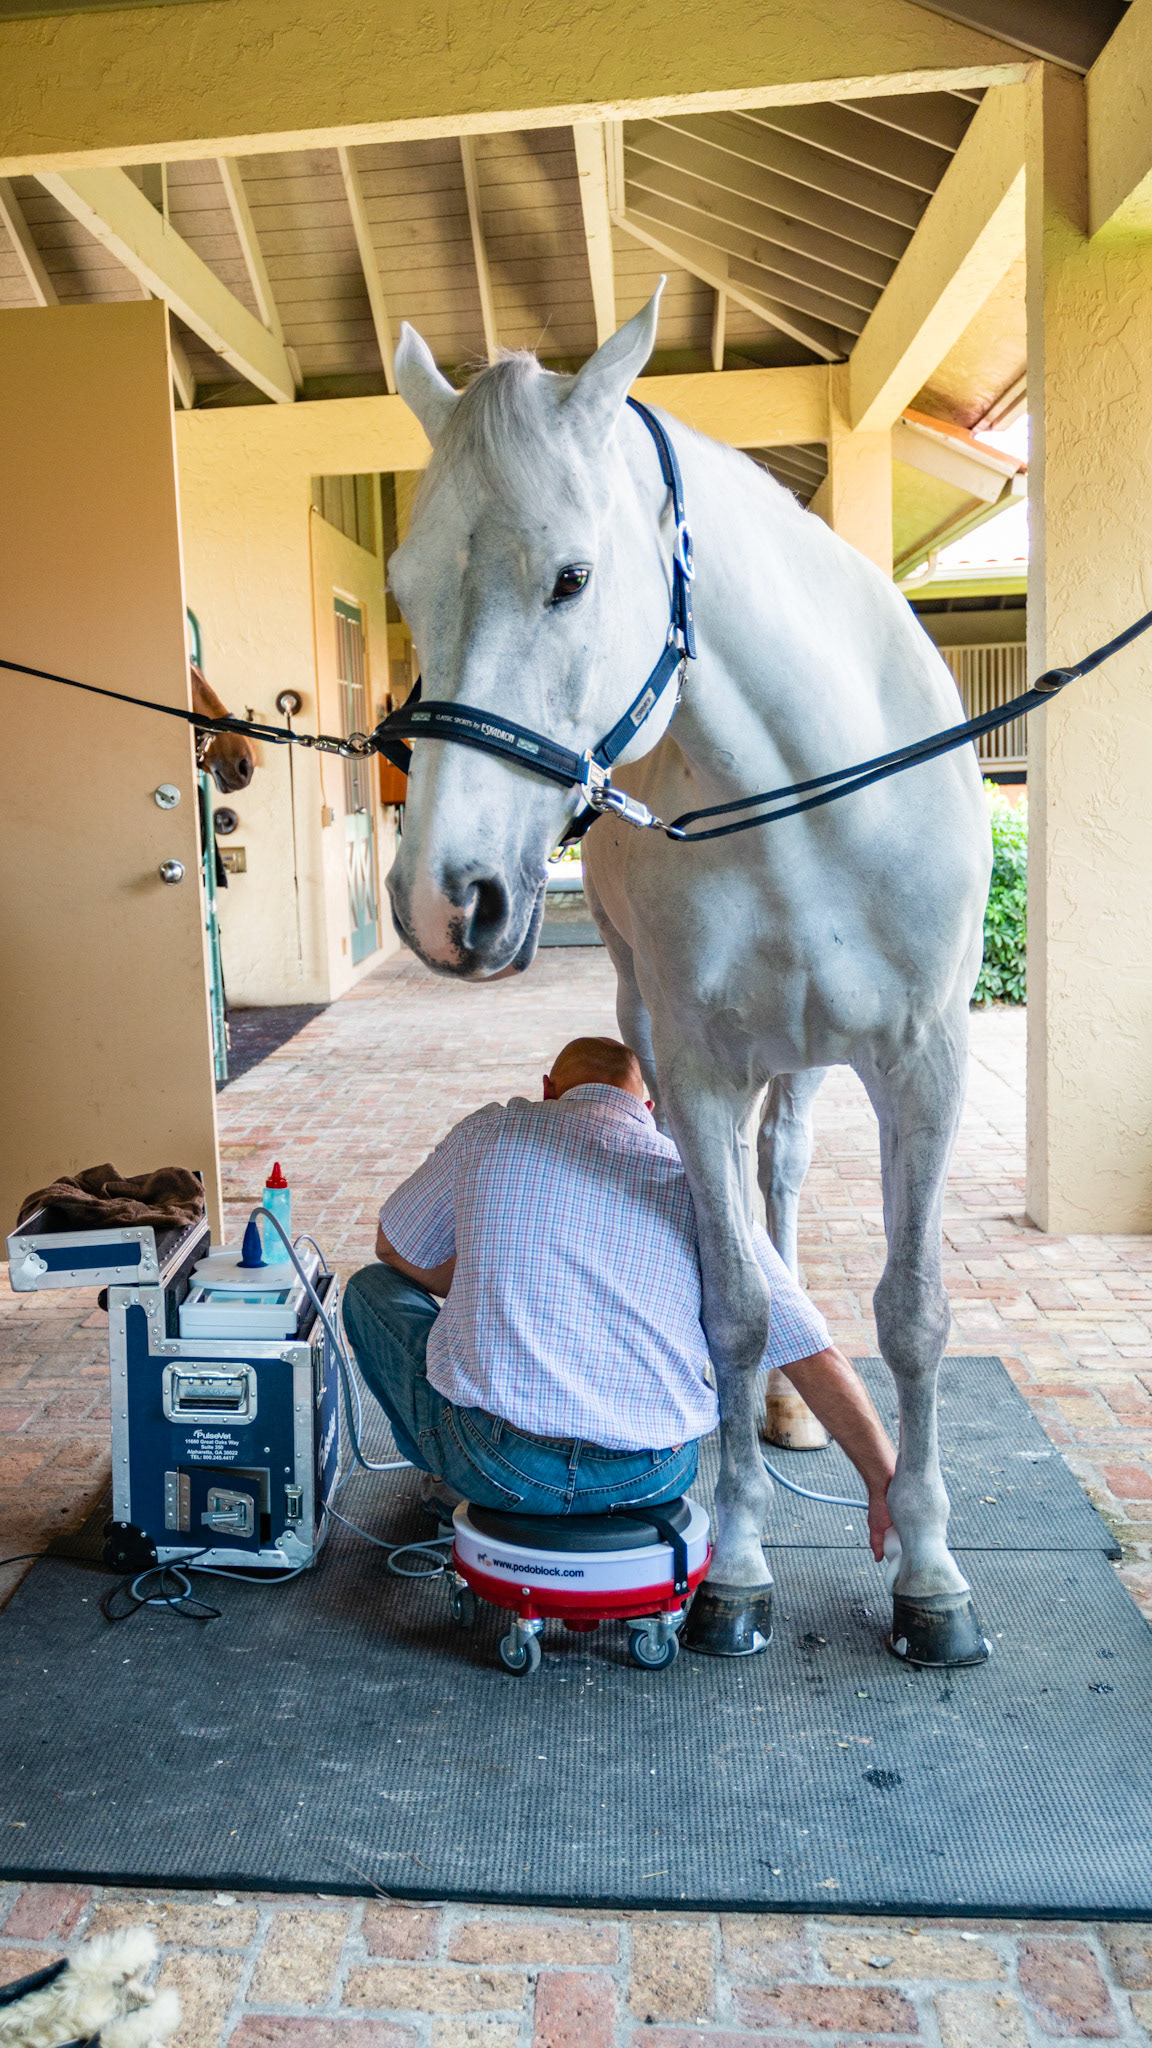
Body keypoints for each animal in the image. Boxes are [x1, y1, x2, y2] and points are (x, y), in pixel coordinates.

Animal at [385, 286, 993, 1668]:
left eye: (571, 576)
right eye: (400, 587)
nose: (447, 900)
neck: (806, 795)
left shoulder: (925, 1063)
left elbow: (915, 1313)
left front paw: (931, 1576)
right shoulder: (703, 1066)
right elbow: (731, 1307)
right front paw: (740, 1567)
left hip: (819, 1065)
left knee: (788, 1172)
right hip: (667, 1031)